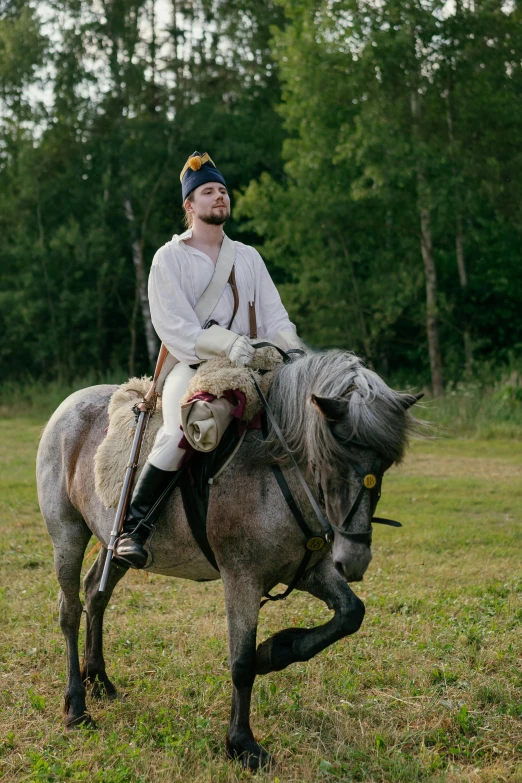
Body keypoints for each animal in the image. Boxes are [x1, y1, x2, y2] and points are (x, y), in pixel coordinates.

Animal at [36, 350, 418, 772]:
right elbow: (241, 662)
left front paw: (275, 651)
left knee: (95, 594)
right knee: (69, 610)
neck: (274, 468)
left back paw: (99, 680)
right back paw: (76, 706)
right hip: (67, 533)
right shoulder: (242, 579)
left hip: (111, 542)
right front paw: (242, 743)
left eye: (383, 466)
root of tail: (71, 404)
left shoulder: (309, 571)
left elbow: (350, 614)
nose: (355, 559)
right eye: (334, 457)